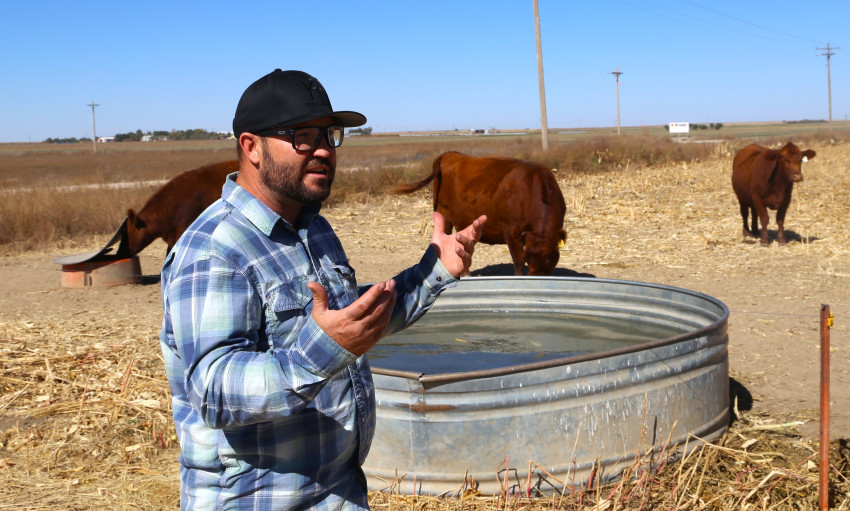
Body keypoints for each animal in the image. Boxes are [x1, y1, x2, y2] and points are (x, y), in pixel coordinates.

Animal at [392, 151, 568, 276]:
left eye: (551, 262)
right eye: (530, 261)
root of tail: (449, 154)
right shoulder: (511, 232)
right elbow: (518, 261)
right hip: (443, 215)